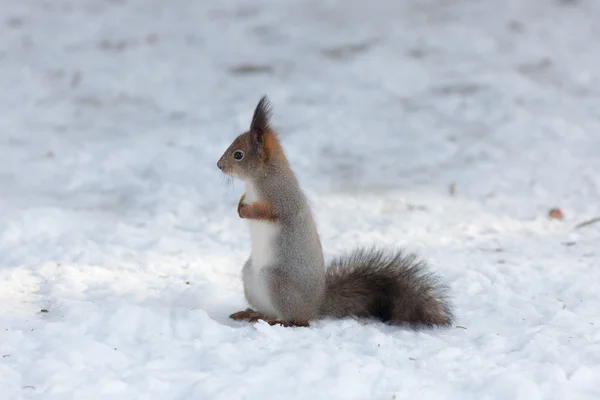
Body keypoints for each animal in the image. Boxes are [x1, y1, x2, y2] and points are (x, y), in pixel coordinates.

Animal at [217, 96, 454, 328]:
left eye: (238, 155)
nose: (219, 165)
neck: (259, 179)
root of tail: (315, 305)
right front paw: (239, 205)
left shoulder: (281, 199)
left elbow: (267, 212)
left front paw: (245, 210)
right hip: (250, 276)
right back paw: (251, 314)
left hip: (276, 281)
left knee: (297, 320)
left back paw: (276, 320)